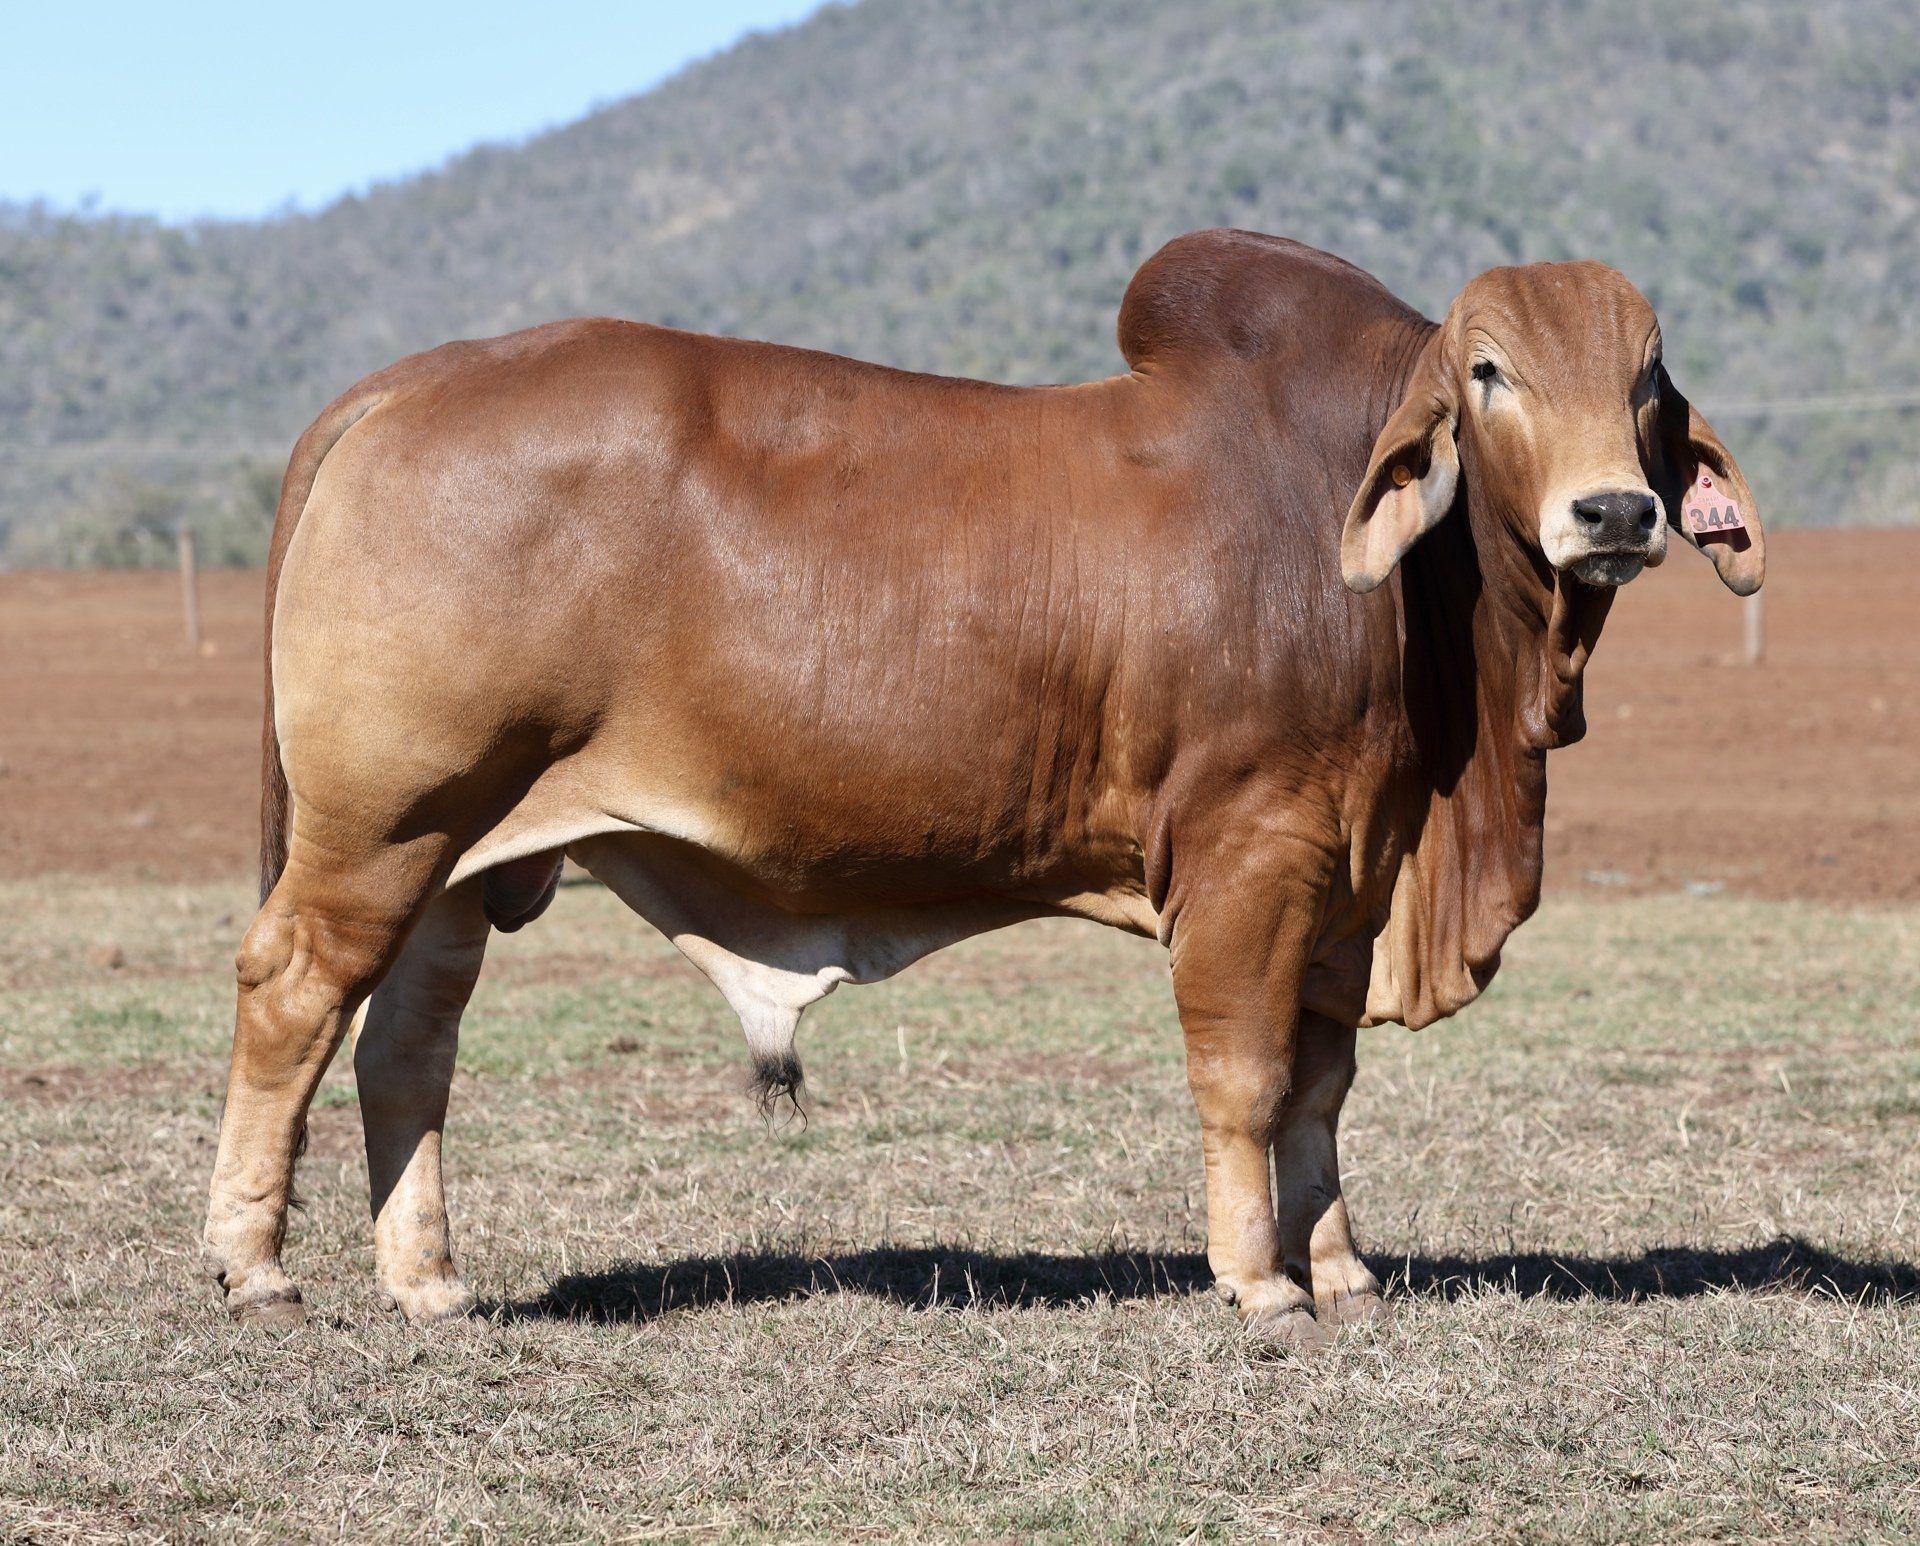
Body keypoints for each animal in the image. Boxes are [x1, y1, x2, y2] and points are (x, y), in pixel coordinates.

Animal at [204, 229, 1763, 1346]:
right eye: (1490, 371)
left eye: (1646, 376)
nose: (1616, 511)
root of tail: (405, 383)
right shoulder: (1253, 855)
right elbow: (1248, 1077)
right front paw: (1258, 1280)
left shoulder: (1348, 880)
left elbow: (1323, 1090)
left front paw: (1340, 1268)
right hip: (382, 830)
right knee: (293, 996)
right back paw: (255, 1267)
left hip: (461, 860)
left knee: (407, 1047)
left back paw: (428, 1281)